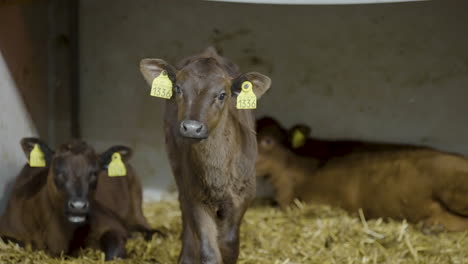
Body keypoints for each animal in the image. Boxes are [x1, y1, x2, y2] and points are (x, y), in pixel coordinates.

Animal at [0, 138, 153, 260]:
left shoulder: (113, 224)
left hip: (137, 208)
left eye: (94, 173)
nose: (78, 206)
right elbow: (18, 243)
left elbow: (113, 250)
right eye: (57, 171)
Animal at [139, 47, 270, 264]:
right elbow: (209, 250)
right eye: (178, 89)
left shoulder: (244, 196)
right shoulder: (195, 194)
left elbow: (229, 244)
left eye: (222, 95)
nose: (192, 127)